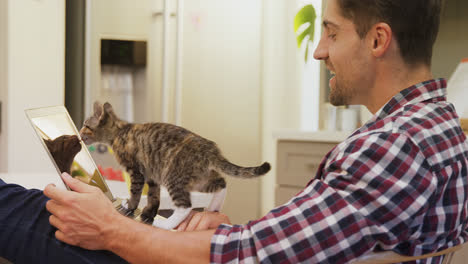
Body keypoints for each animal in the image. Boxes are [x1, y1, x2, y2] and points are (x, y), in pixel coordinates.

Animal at [79, 101, 270, 229]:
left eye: (86, 125)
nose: (80, 134)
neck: (120, 131)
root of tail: (211, 150)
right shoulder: (152, 176)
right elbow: (153, 197)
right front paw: (148, 214)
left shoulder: (136, 171)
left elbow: (135, 192)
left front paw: (130, 207)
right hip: (198, 178)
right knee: (221, 183)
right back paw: (213, 207)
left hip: (173, 176)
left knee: (185, 206)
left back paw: (166, 225)